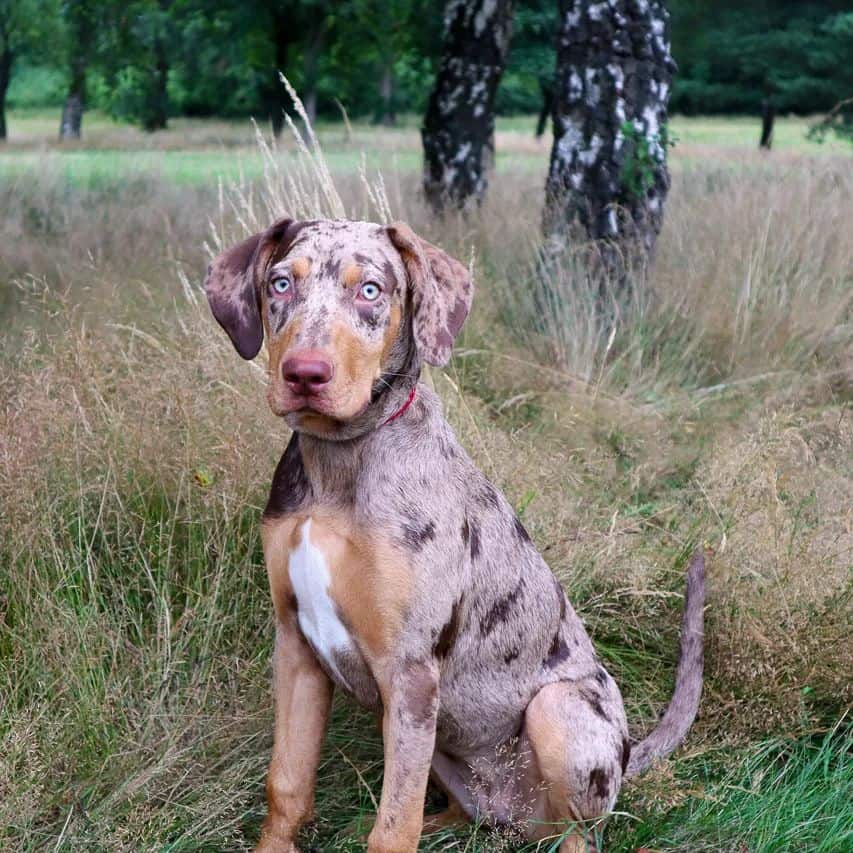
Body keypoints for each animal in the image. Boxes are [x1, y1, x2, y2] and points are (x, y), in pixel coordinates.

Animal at [203, 220, 704, 852]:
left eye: (371, 290)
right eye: (279, 283)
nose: (304, 374)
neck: (340, 459)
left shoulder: (410, 671)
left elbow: (395, 829)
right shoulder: (296, 647)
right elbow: (287, 785)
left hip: (558, 712)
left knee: (579, 832)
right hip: (443, 748)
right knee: (456, 813)